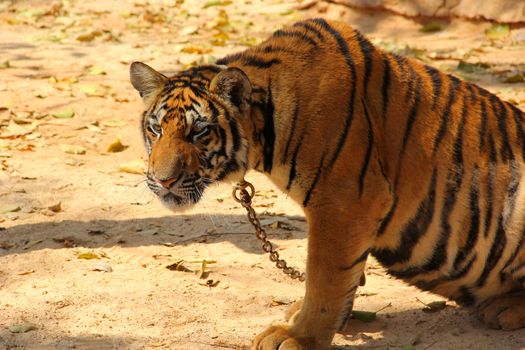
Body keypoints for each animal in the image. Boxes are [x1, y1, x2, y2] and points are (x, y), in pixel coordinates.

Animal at [129, 19, 524, 350]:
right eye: (156, 129)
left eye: (199, 131)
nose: (163, 179)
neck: (263, 131)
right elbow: (346, 275)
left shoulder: (345, 202)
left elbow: (325, 277)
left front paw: (300, 337)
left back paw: (505, 310)